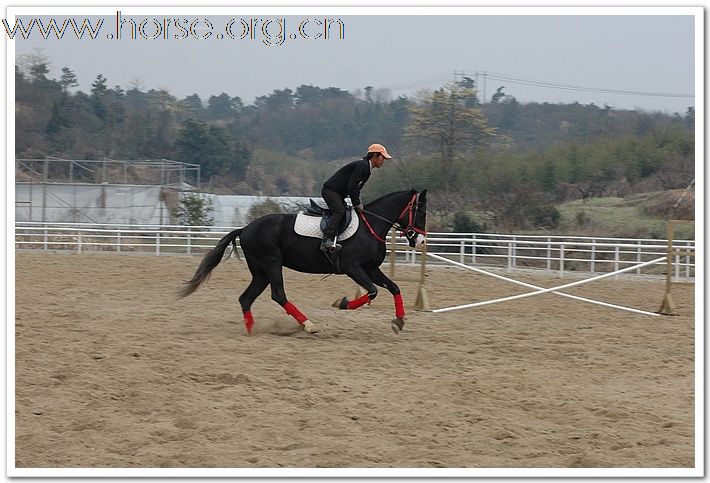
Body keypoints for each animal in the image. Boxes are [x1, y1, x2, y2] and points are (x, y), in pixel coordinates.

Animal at [178, 190, 428, 336]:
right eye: (421, 211)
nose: (421, 240)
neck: (371, 226)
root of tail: (246, 228)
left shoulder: (370, 268)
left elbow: (394, 287)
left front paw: (399, 320)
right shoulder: (353, 268)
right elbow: (373, 292)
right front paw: (342, 303)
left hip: (260, 272)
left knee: (246, 298)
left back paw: (251, 329)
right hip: (271, 265)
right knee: (278, 294)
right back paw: (308, 325)